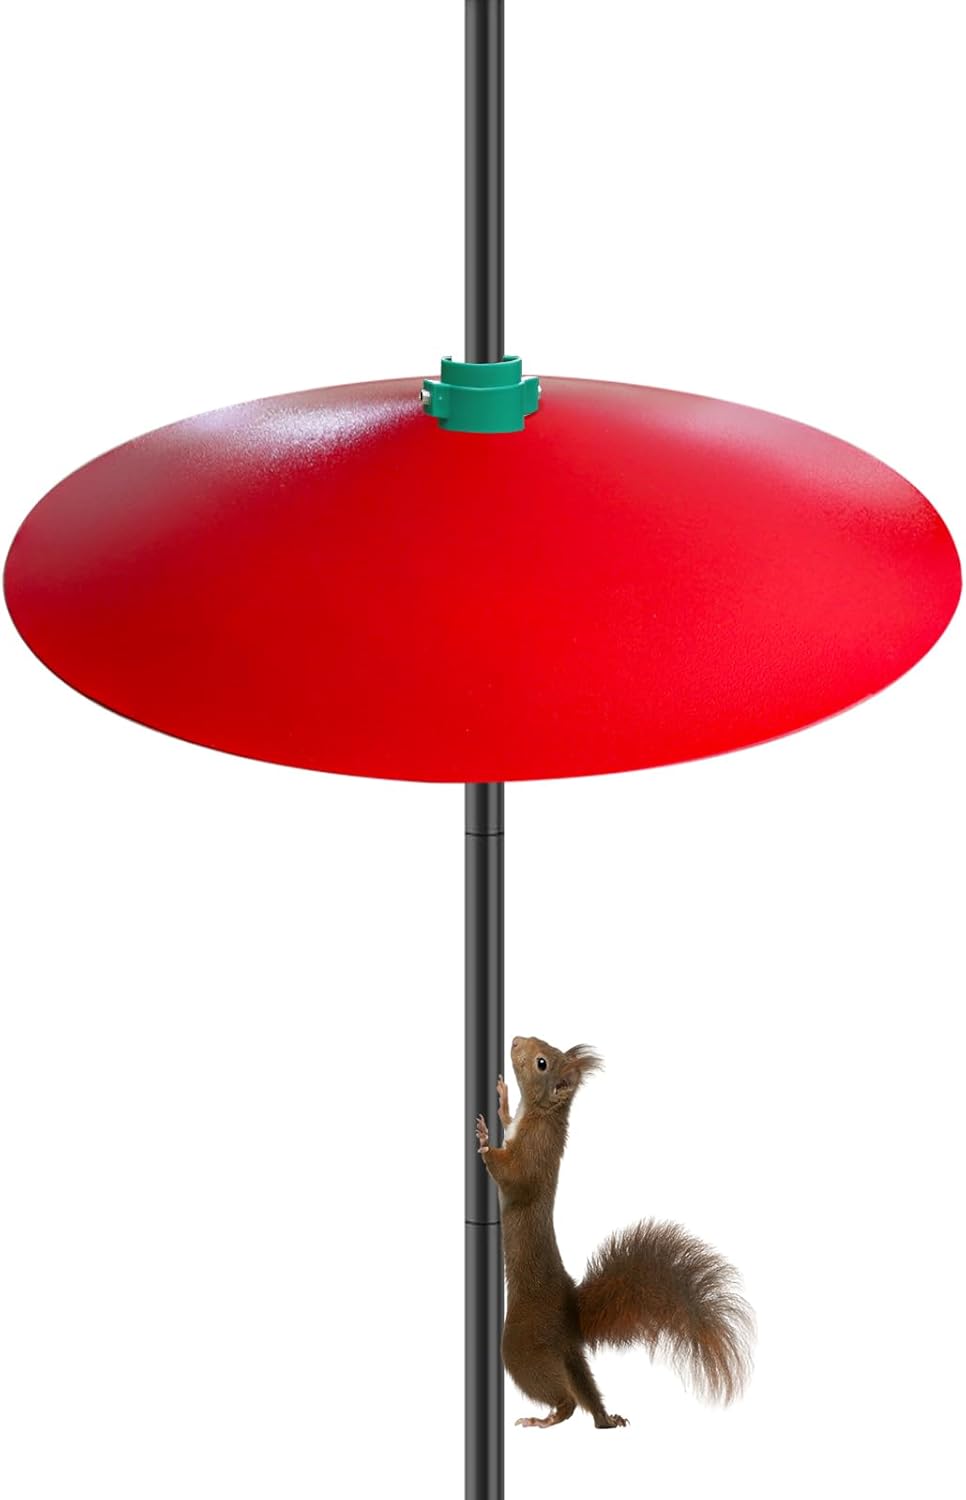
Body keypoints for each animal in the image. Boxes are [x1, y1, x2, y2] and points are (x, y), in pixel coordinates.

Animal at [474, 1034, 755, 1430]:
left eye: (542, 1062)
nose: (515, 1041)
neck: (540, 1113)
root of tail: (570, 1317)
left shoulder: (533, 1157)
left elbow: (513, 1177)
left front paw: (484, 1141)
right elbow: (508, 1120)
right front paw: (501, 1100)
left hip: (522, 1346)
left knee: (567, 1400)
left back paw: (544, 1419)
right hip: (570, 1358)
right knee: (587, 1394)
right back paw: (607, 1418)